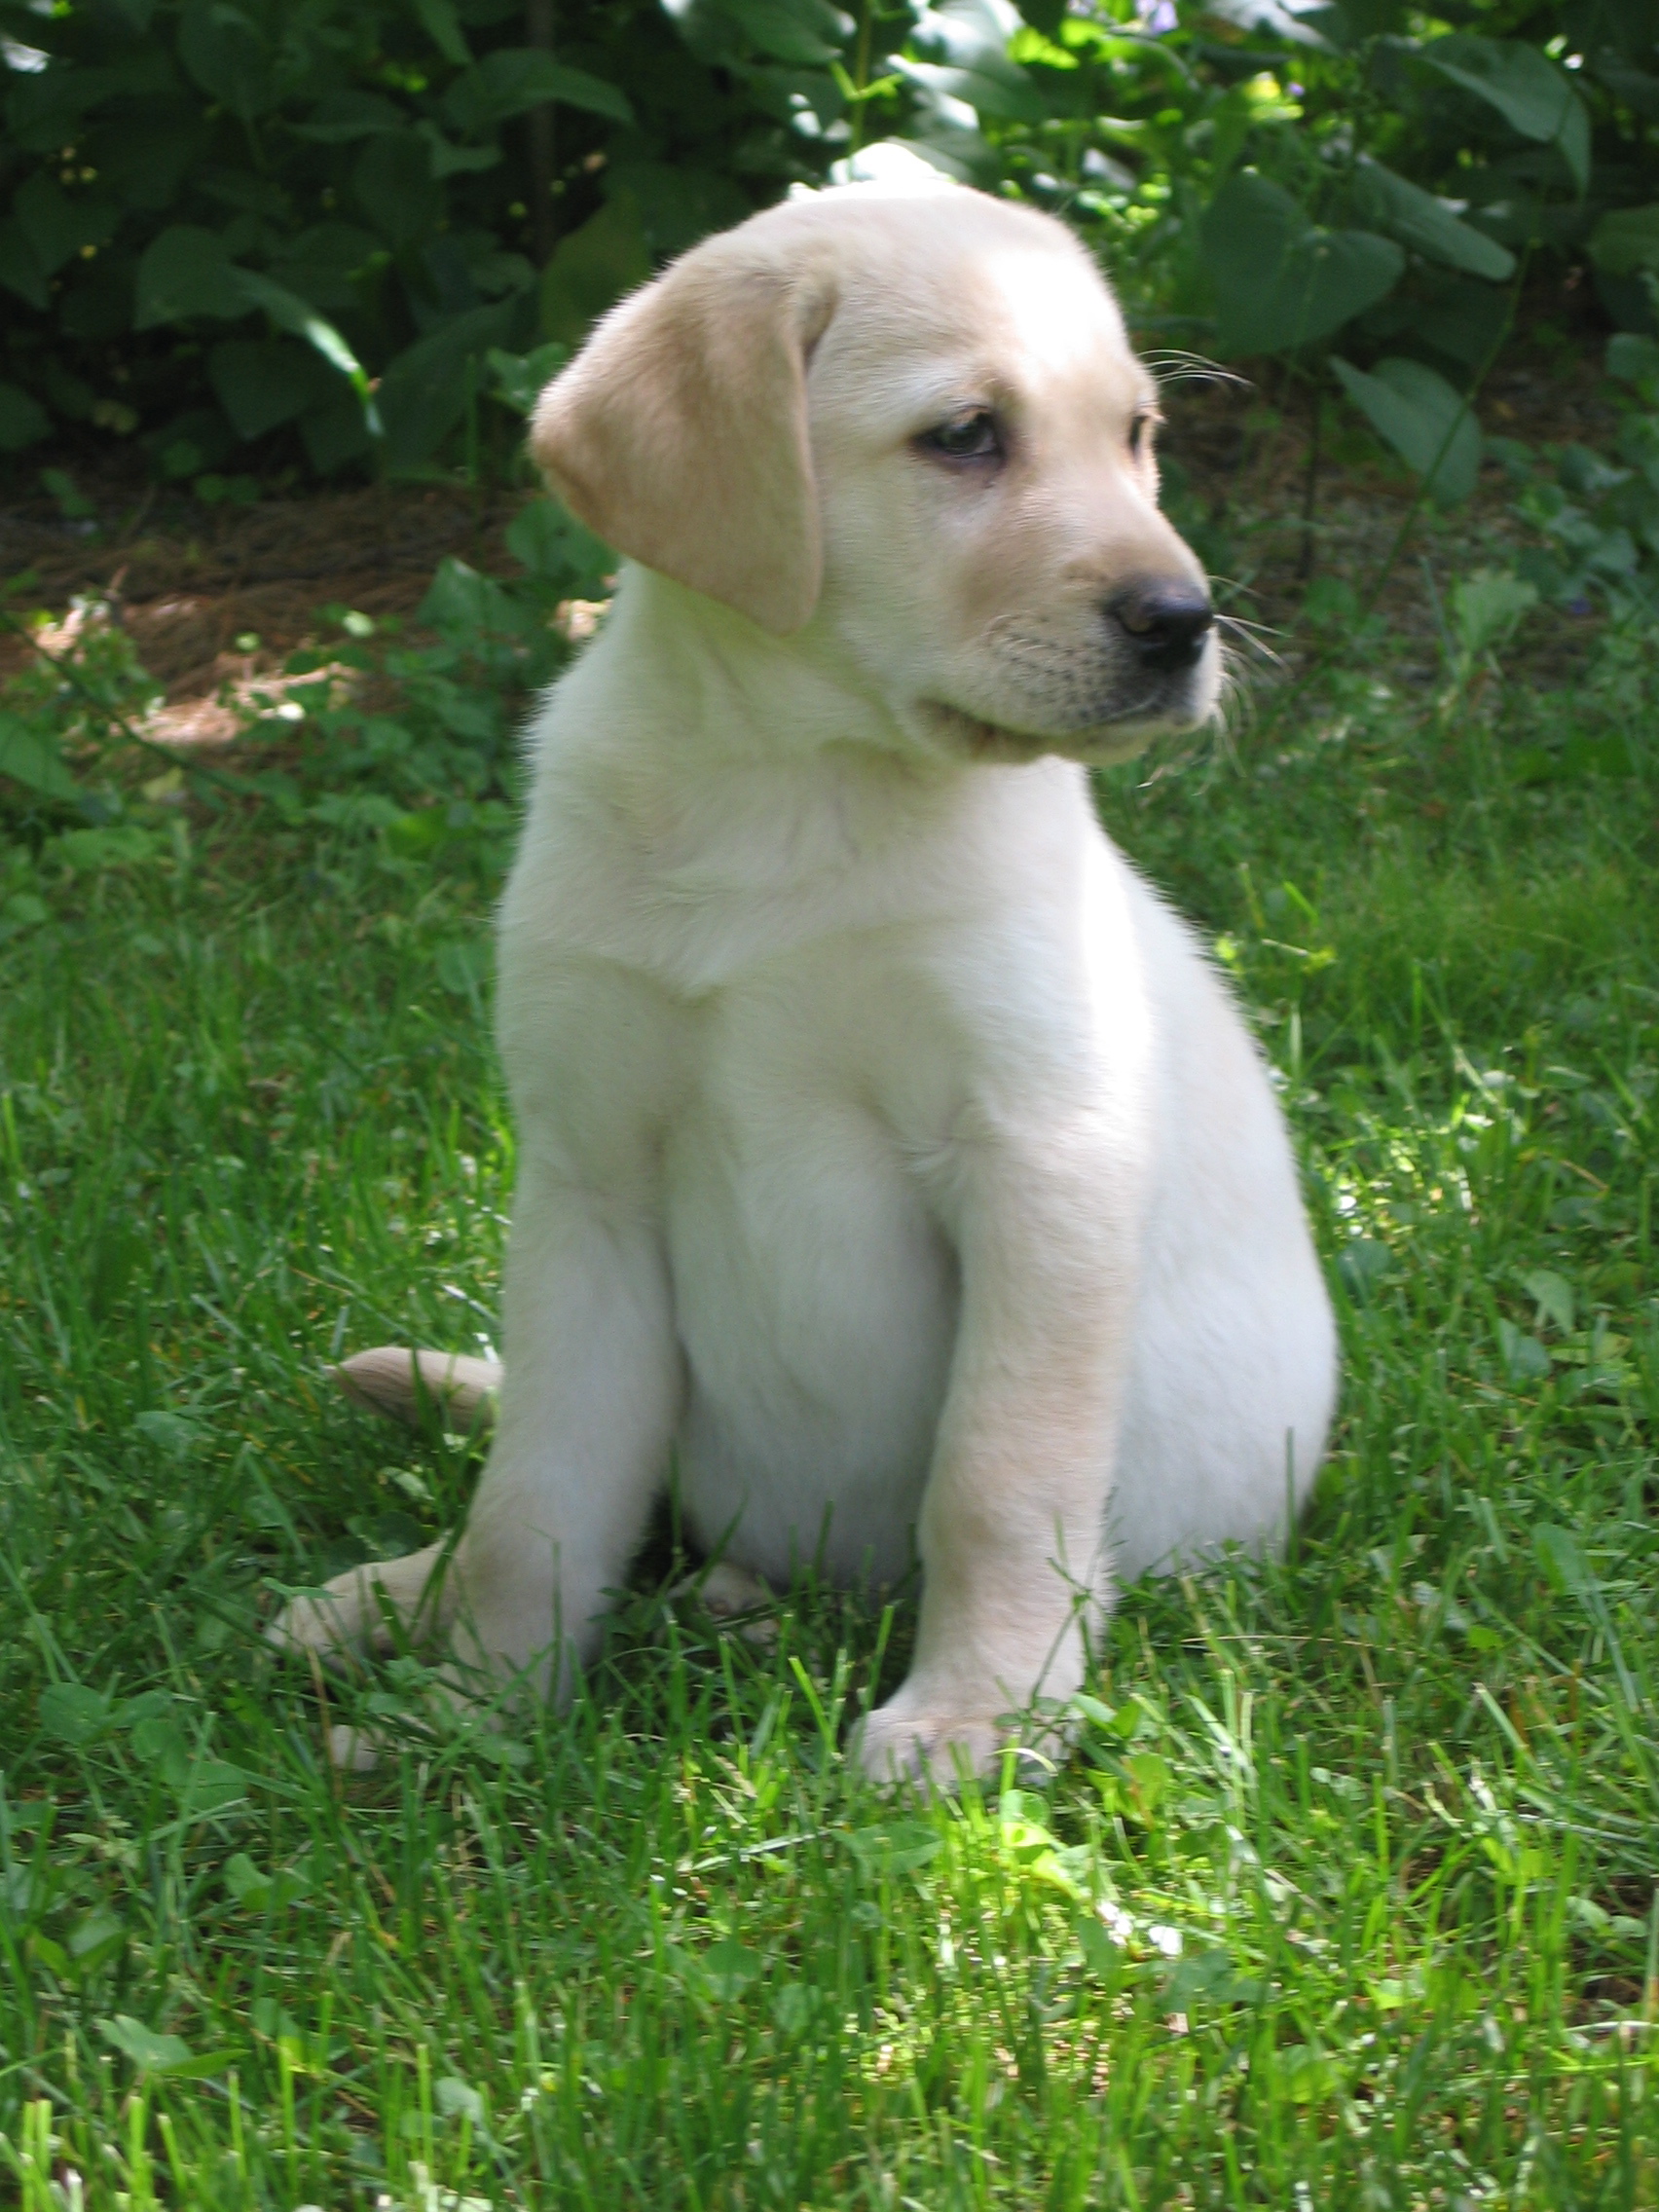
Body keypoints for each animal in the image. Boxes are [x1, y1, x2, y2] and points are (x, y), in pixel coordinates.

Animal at [273, 190, 1336, 1778]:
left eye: (1137, 434)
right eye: (966, 435)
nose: (1184, 619)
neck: (787, 783)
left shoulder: (1041, 1158)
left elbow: (998, 1480)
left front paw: (974, 1719)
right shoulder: (589, 1180)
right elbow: (539, 1499)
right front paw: (476, 1714)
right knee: (552, 1489)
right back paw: (389, 1602)